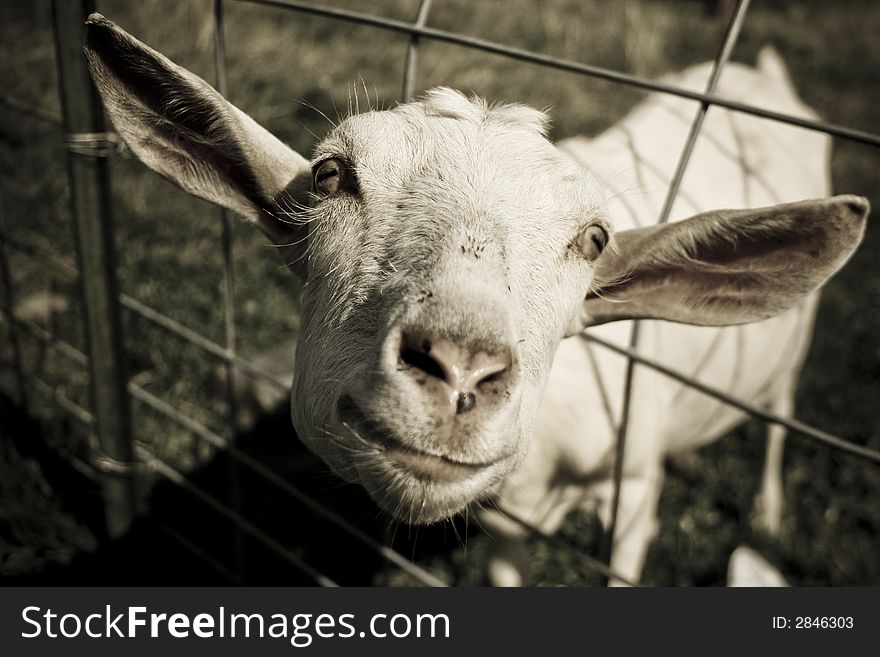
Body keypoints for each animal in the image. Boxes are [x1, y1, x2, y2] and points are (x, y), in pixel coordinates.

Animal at [86, 12, 868, 580]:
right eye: (331, 174)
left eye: (594, 238)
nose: (459, 372)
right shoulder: (507, 519)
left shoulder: (634, 494)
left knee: (779, 410)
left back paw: (767, 510)